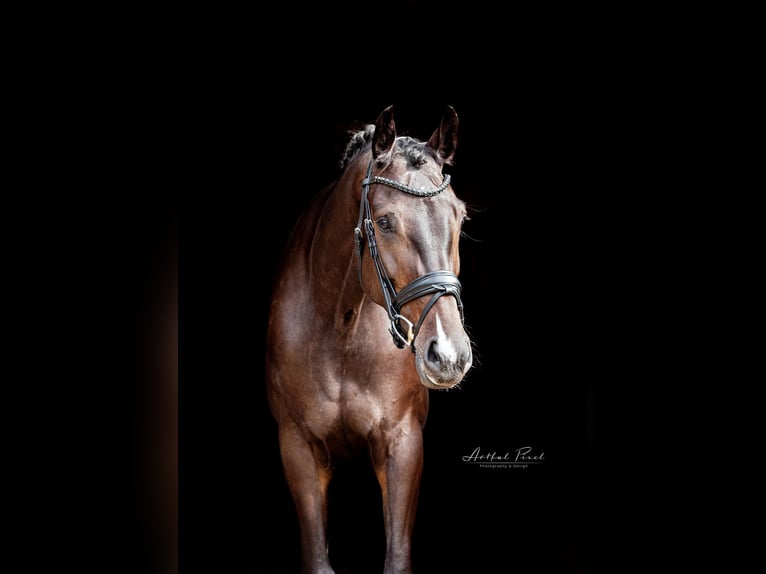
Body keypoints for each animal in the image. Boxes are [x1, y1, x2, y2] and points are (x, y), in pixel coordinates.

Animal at [268, 104, 474, 574]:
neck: (340, 328)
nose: (448, 355)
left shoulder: (402, 443)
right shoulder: (298, 448)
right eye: (383, 222)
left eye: (459, 216)